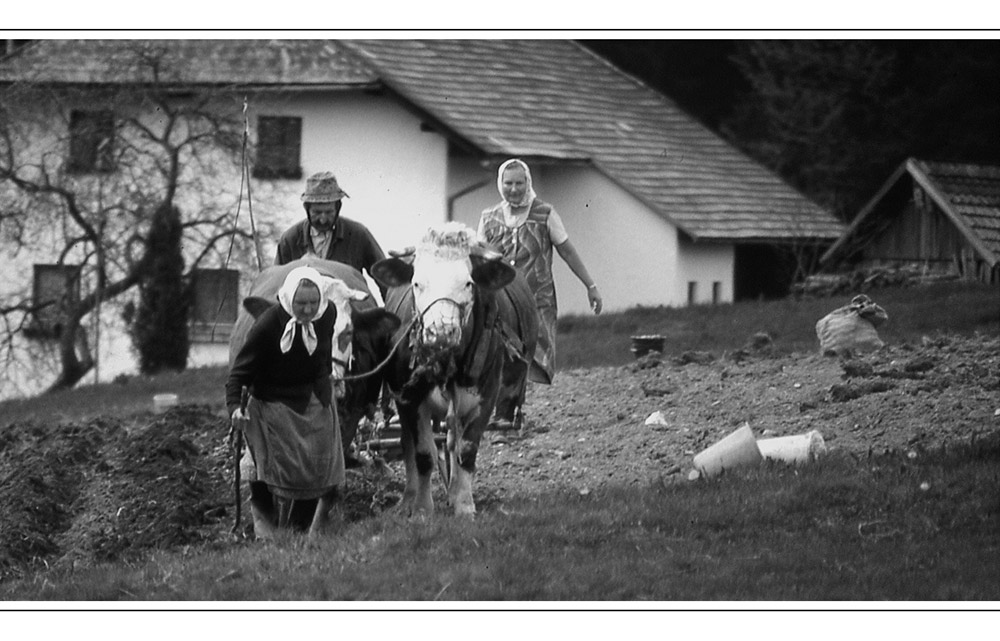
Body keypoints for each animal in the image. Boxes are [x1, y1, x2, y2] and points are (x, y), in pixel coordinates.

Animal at [370, 222, 540, 516]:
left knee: (451, 443)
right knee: (408, 444)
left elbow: (466, 451)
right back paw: (408, 499)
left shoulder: (485, 396)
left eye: (468, 283)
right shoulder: (411, 399)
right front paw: (422, 508)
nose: (441, 332)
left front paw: (463, 504)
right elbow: (423, 454)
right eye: (417, 282)